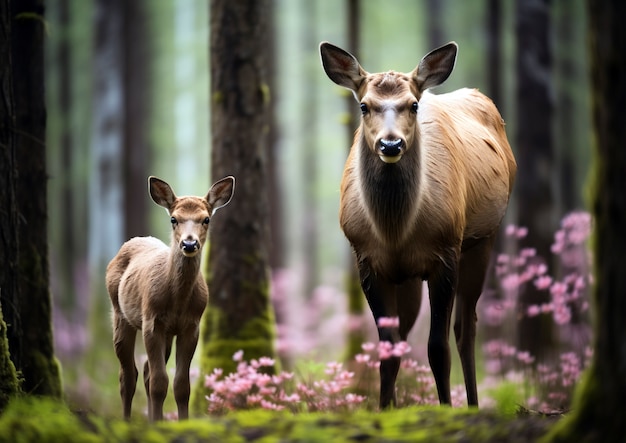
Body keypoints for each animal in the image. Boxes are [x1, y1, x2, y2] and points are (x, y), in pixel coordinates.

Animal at [105, 175, 234, 422]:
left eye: (206, 219)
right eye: (174, 218)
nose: (189, 244)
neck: (178, 301)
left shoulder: (191, 326)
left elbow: (181, 385)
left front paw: (178, 422)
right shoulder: (151, 322)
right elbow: (159, 383)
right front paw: (157, 423)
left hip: (165, 333)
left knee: (145, 371)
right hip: (119, 313)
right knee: (128, 375)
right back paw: (127, 421)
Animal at [320, 42, 516, 410]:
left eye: (413, 104)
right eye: (364, 105)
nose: (391, 144)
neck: (394, 230)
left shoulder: (445, 253)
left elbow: (437, 348)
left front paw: (446, 409)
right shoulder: (367, 260)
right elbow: (388, 350)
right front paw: (384, 410)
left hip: (482, 239)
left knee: (465, 329)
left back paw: (472, 404)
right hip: (407, 276)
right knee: (406, 333)